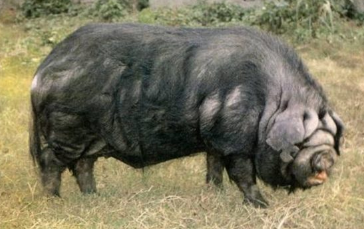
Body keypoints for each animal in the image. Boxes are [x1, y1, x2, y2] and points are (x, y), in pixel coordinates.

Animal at [29, 23, 342, 208]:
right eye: (301, 142)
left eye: (329, 136)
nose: (325, 158)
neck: (270, 103)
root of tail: (41, 71)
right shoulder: (234, 138)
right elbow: (242, 173)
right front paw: (262, 206)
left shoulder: (216, 140)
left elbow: (214, 167)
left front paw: (215, 194)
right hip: (67, 127)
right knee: (51, 161)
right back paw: (55, 201)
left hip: (89, 136)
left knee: (83, 166)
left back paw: (95, 197)